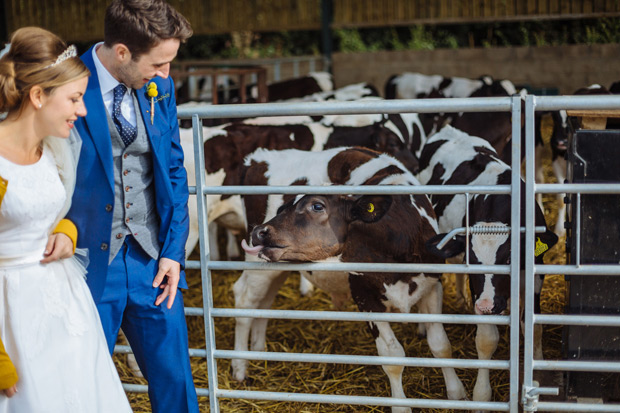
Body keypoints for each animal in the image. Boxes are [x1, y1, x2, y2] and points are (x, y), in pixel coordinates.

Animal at [236, 146, 464, 410]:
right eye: (283, 208)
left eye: (317, 206)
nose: (259, 231)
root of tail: (258, 158)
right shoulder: (365, 297)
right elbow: (392, 356)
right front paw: (401, 406)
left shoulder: (432, 284)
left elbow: (441, 345)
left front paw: (456, 393)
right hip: (257, 266)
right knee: (244, 301)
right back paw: (240, 369)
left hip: (275, 268)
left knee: (265, 302)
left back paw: (259, 350)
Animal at [416, 125, 556, 406]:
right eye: (473, 259)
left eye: (509, 259)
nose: (486, 306)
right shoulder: (478, 287)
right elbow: (486, 340)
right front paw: (482, 394)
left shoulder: (535, 274)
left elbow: (532, 326)